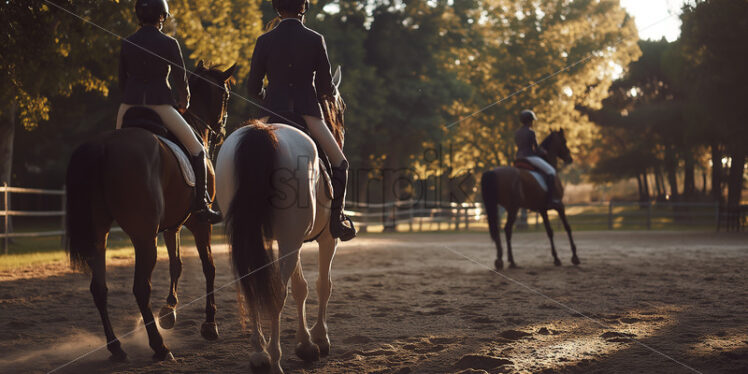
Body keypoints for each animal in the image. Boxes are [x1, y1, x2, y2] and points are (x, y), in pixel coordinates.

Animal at [66, 62, 237, 362]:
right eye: (226, 95)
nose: (220, 132)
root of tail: (103, 147)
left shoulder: (173, 224)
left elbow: (176, 264)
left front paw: (169, 312)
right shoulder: (199, 223)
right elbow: (209, 267)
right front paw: (209, 324)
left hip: (100, 234)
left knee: (99, 289)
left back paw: (117, 348)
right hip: (144, 236)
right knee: (140, 288)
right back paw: (159, 347)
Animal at [213, 66, 344, 372]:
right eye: (340, 110)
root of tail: (261, 134)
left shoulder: (286, 240)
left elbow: (300, 287)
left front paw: (306, 343)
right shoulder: (325, 238)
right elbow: (321, 285)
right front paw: (319, 340)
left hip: (257, 236)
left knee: (251, 287)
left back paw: (259, 353)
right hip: (290, 239)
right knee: (276, 294)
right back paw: (274, 359)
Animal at [482, 131, 580, 272]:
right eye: (564, 141)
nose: (569, 158)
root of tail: (492, 172)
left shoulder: (543, 209)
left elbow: (549, 232)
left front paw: (556, 259)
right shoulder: (560, 206)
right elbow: (567, 228)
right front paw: (575, 257)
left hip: (500, 207)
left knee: (501, 230)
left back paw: (501, 260)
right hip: (513, 208)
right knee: (507, 229)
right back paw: (511, 261)